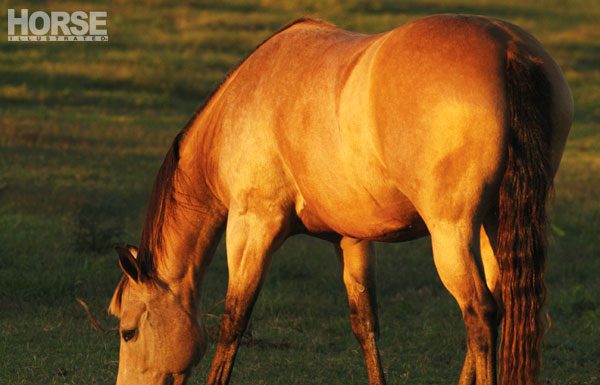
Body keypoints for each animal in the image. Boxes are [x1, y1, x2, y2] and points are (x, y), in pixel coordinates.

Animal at [106, 13, 572, 384]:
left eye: (128, 331)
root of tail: (508, 49)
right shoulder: (351, 240)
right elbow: (365, 323)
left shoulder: (252, 226)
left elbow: (234, 318)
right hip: (495, 222)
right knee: (502, 305)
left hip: (453, 233)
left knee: (480, 314)